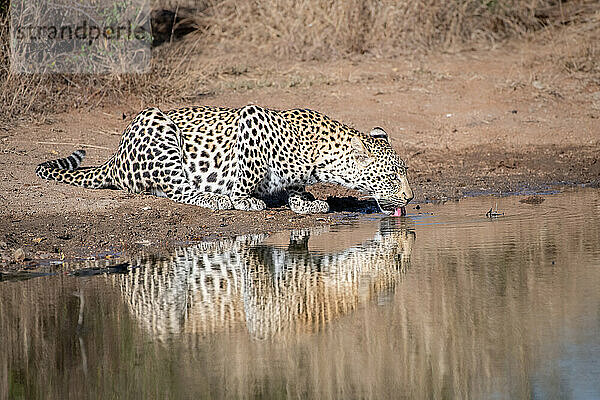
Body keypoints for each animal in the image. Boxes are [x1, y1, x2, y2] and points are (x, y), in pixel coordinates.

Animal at [36, 104, 412, 214]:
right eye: (391, 177)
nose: (410, 198)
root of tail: (114, 157)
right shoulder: (250, 121)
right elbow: (245, 170)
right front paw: (244, 199)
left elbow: (296, 189)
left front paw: (306, 202)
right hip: (158, 125)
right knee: (179, 191)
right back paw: (219, 199)